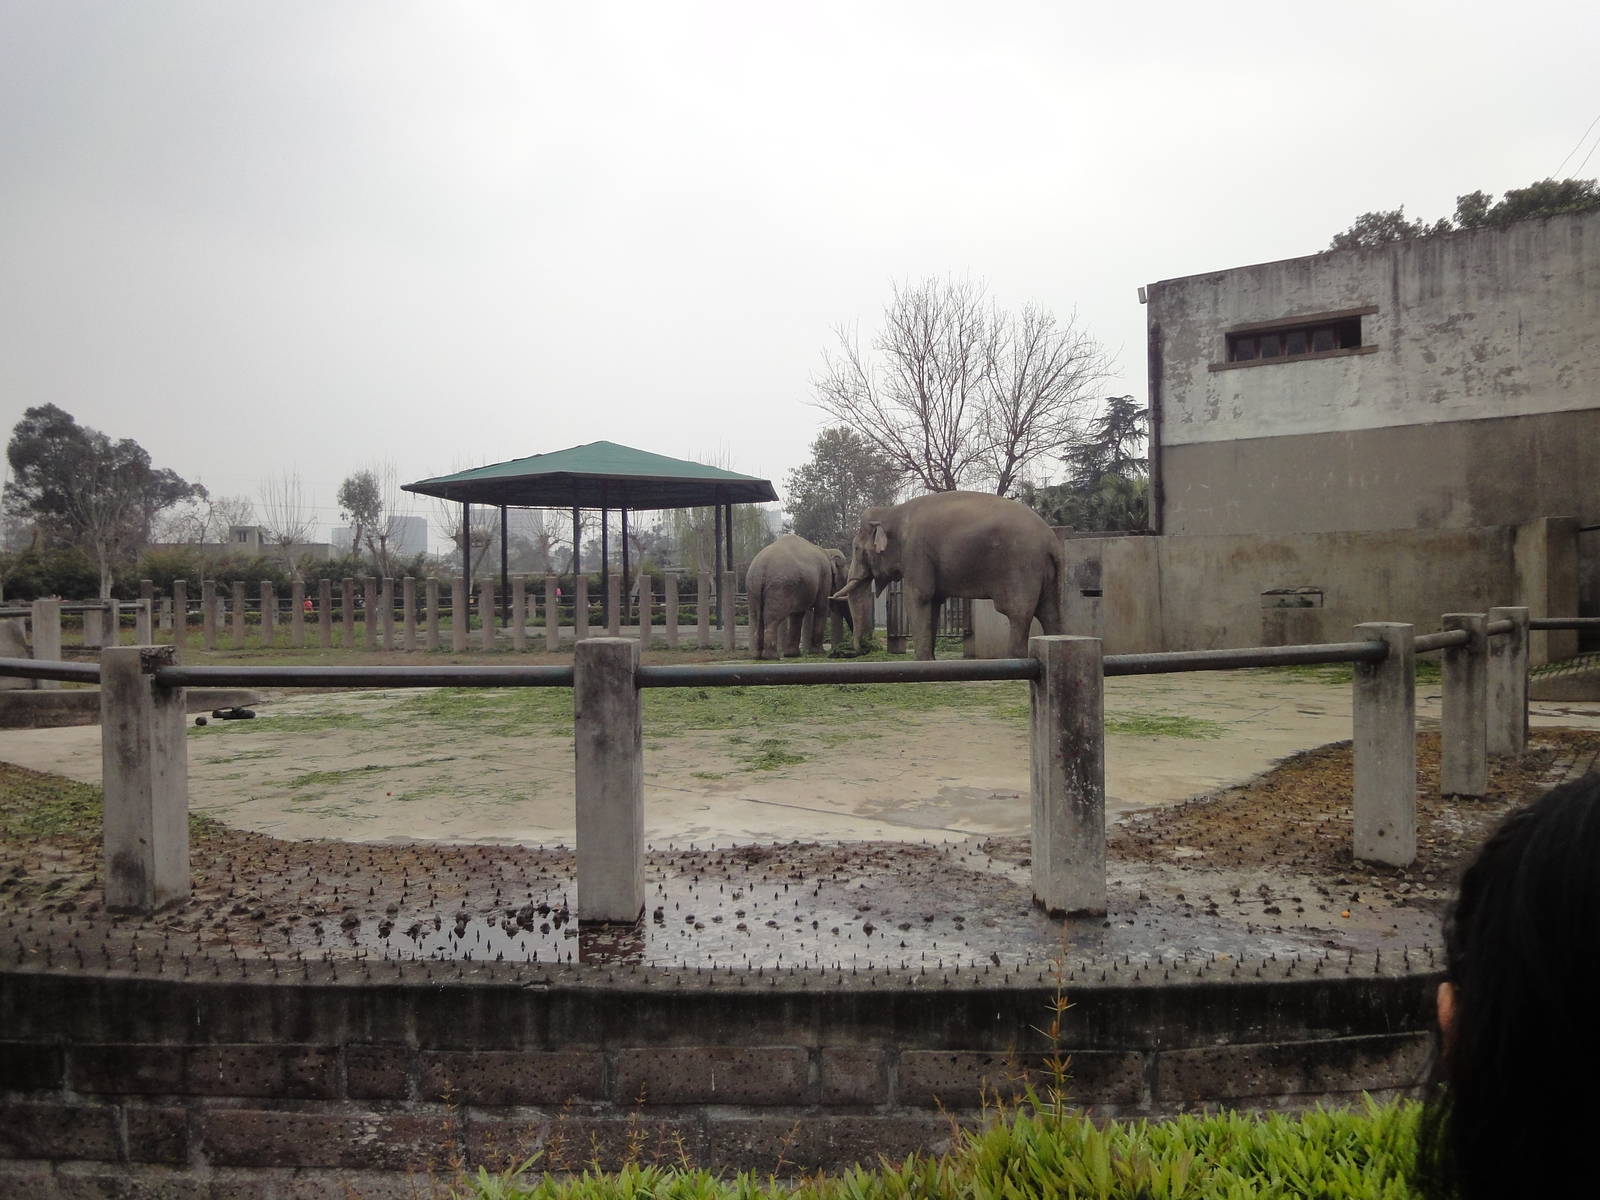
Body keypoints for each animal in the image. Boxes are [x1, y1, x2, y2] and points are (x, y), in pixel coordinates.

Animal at [831, 491, 1065, 660]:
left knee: (1018, 613)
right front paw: (930, 659)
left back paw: (1013, 659)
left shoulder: (916, 551)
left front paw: (922, 661)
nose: (858, 649)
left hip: (1022, 566)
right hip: (1047, 573)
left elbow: (918, 597)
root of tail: (1052, 541)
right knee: (1049, 613)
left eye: (856, 549)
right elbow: (933, 602)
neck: (892, 512)